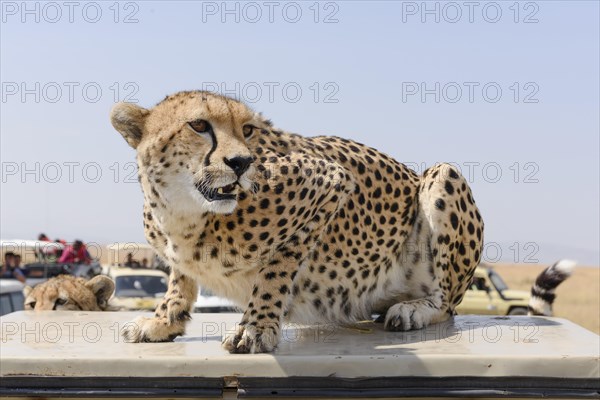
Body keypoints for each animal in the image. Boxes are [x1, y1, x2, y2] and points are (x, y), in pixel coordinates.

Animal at [110, 91, 486, 354]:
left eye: (247, 130)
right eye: (199, 125)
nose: (241, 162)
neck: (184, 211)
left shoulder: (331, 180)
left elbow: (278, 267)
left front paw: (256, 326)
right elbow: (179, 279)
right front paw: (163, 321)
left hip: (443, 176)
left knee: (446, 304)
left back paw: (414, 309)